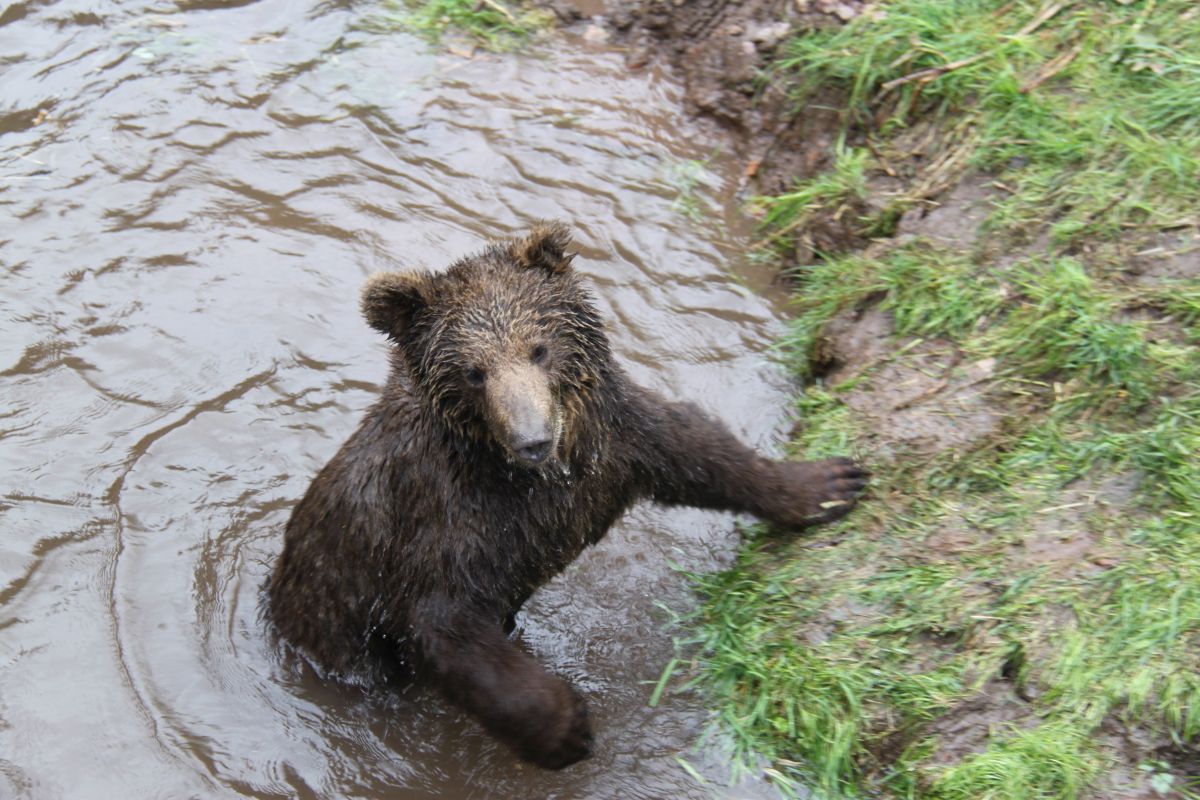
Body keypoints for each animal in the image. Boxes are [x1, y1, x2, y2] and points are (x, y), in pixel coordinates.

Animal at [265, 224, 864, 767]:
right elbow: (442, 621)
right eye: (475, 372)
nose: (532, 439)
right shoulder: (445, 517)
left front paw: (829, 482)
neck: (535, 474)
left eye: (539, 349)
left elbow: (702, 452)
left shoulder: (618, 441)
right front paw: (566, 727)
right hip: (338, 629)